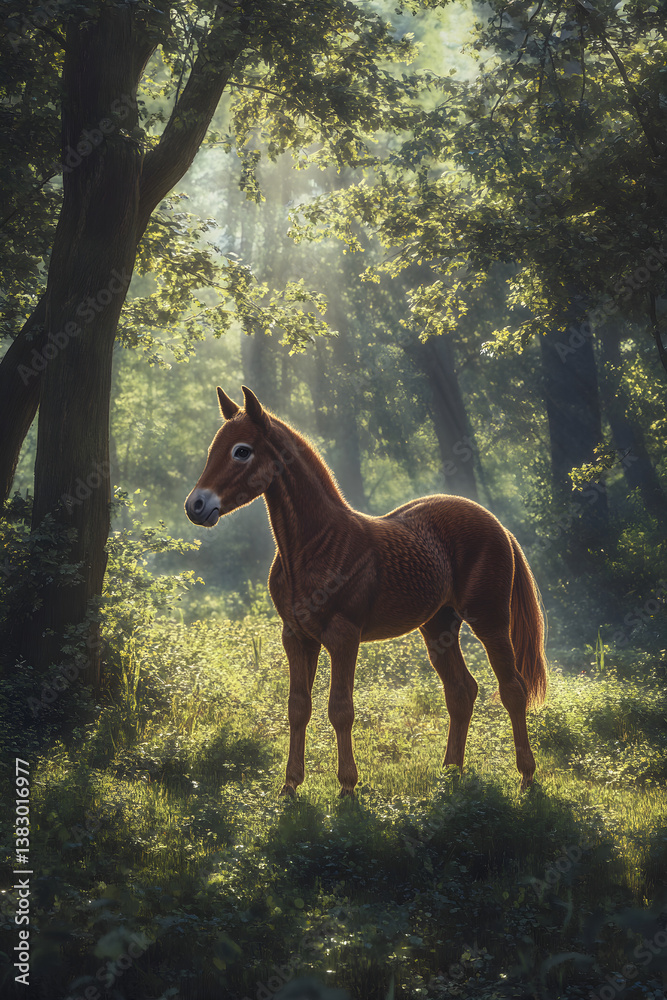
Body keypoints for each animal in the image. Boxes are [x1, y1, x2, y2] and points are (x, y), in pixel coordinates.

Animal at [185, 386, 547, 796]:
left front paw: (347, 786)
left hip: (490, 621)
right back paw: (450, 775)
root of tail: (497, 525)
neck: (316, 545)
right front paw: (290, 785)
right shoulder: (296, 636)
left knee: (512, 689)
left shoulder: (343, 636)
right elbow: (298, 707)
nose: (196, 505)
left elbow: (340, 709)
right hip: (438, 626)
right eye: (215, 448)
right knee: (461, 692)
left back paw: (526, 777)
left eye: (242, 450)